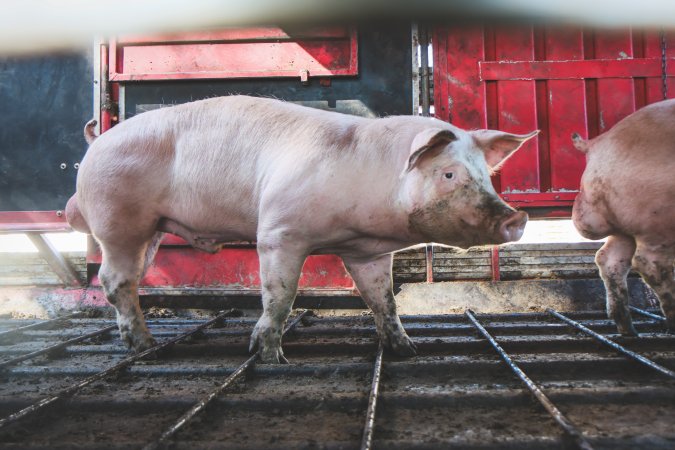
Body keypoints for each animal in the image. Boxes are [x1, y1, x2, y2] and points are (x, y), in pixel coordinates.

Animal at [66, 95, 536, 362]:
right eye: (449, 174)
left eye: (486, 175)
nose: (516, 218)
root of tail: (97, 142)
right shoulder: (279, 232)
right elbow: (282, 295)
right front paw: (271, 357)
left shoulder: (368, 253)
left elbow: (383, 299)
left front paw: (408, 351)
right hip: (120, 219)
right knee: (114, 280)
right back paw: (145, 348)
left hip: (153, 231)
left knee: (129, 278)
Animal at [572, 99, 675, 338]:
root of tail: (597, 144)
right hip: (656, 217)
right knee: (649, 263)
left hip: (623, 224)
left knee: (608, 259)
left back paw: (628, 330)